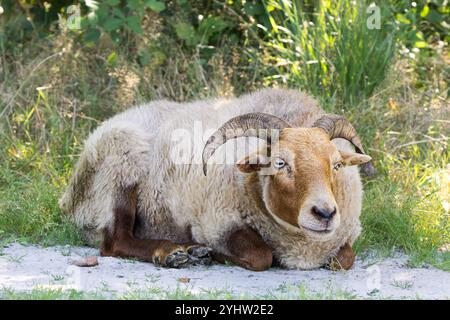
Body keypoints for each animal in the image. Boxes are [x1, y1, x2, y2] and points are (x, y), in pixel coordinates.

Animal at [59, 89, 372, 272]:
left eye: (336, 164)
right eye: (279, 163)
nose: (325, 214)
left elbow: (345, 259)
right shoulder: (216, 222)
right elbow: (261, 256)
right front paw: (210, 252)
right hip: (122, 163)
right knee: (115, 241)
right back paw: (172, 253)